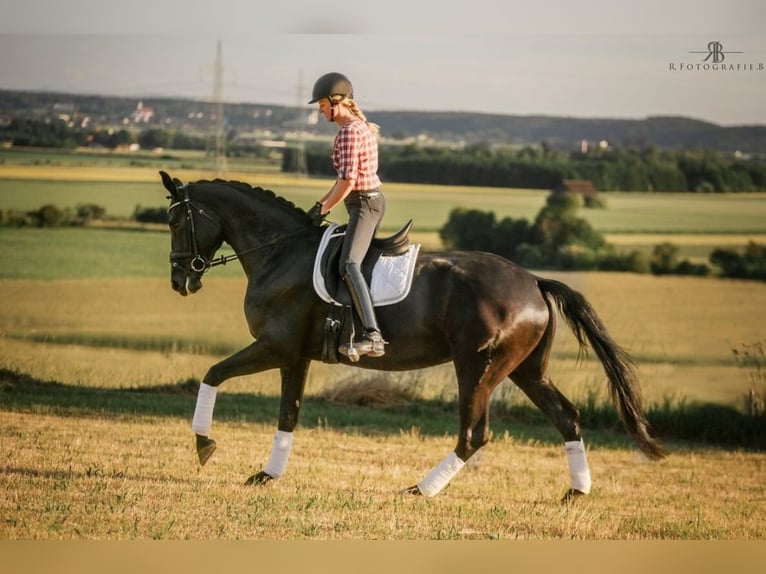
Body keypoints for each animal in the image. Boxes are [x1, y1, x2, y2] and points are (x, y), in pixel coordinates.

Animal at [162, 172, 664, 504]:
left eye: (175, 222)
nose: (181, 282)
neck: (278, 251)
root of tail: (534, 281)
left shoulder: (274, 347)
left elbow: (213, 373)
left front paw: (204, 446)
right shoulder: (294, 356)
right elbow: (289, 414)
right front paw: (267, 474)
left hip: (477, 368)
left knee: (474, 434)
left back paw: (421, 489)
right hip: (525, 370)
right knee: (566, 417)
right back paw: (576, 493)